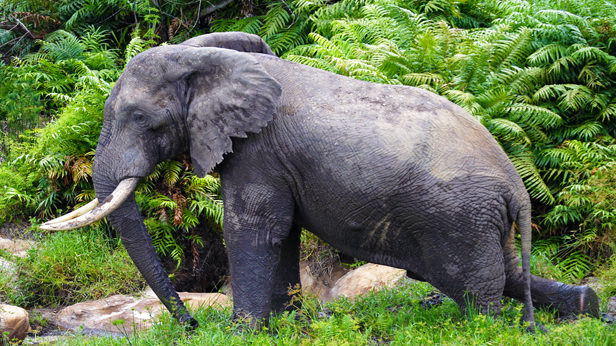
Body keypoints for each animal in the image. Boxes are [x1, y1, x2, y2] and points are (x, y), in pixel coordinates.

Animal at [42, 31, 596, 330]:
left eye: (138, 118)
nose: (192, 324)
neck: (213, 60)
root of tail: (517, 186)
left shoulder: (258, 151)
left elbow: (254, 229)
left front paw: (244, 331)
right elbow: (281, 233)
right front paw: (283, 326)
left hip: (456, 214)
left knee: (472, 283)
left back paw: (484, 328)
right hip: (474, 218)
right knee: (501, 273)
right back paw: (585, 306)